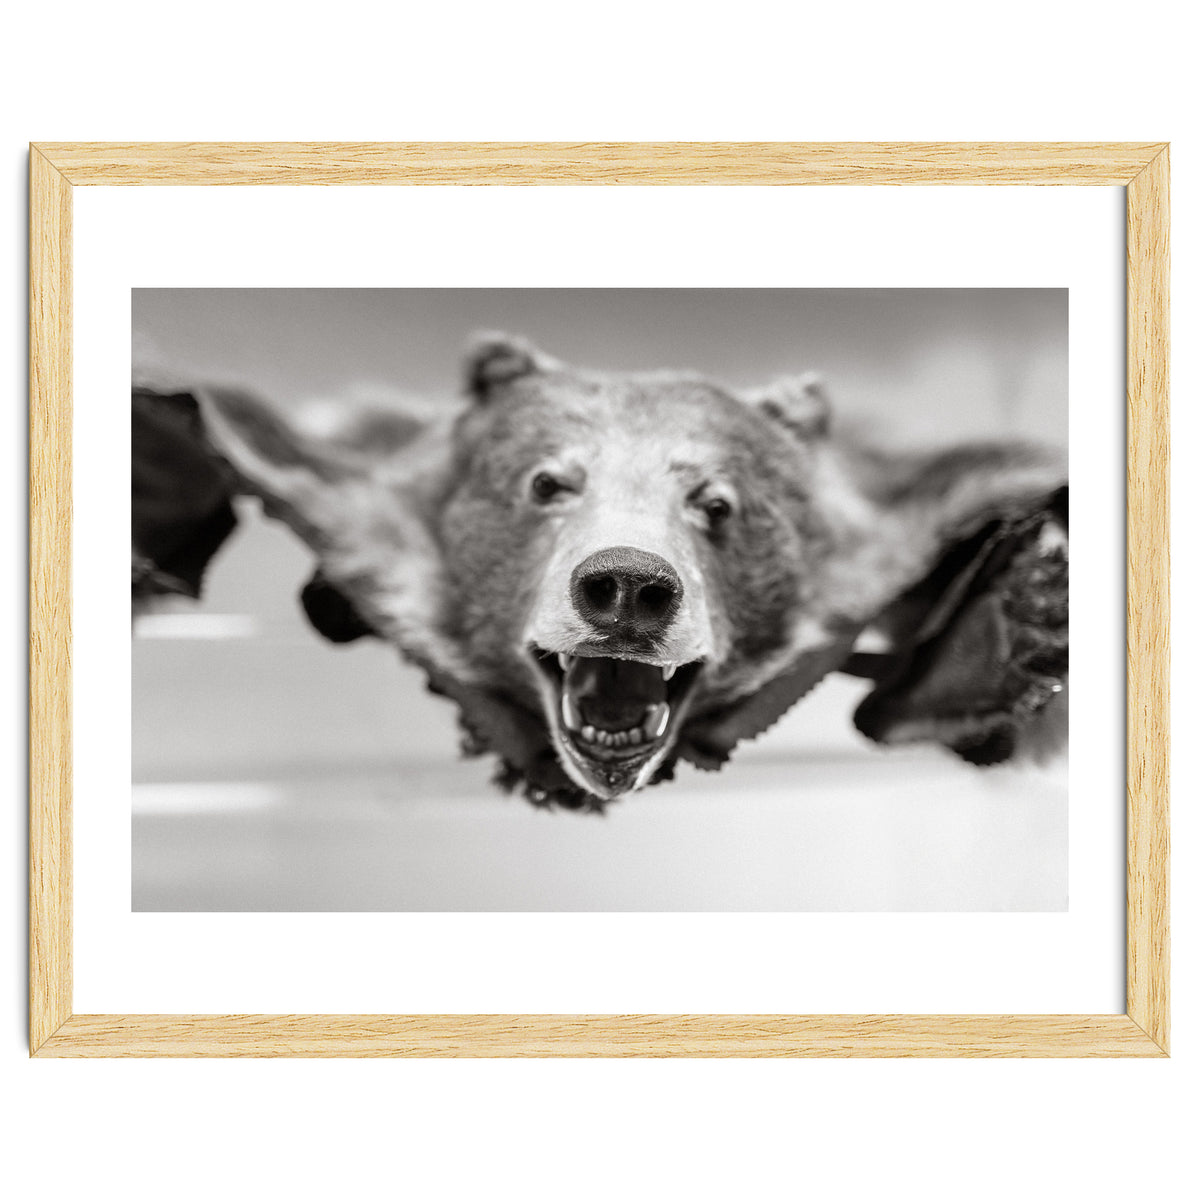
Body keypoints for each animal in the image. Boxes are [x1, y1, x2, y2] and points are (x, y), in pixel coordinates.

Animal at [136, 334, 1069, 810]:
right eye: (547, 482)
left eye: (717, 501)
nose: (627, 586)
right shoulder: (339, 498)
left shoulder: (902, 525)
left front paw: (1030, 617)